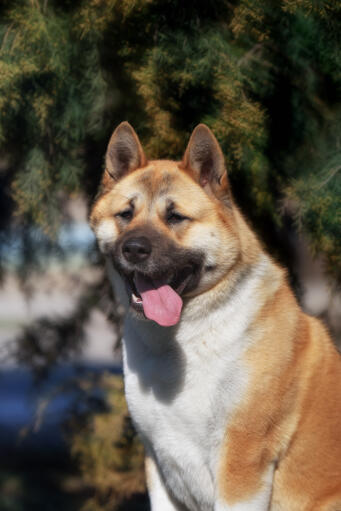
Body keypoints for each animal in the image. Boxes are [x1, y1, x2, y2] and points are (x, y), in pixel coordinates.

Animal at [89, 122, 340, 510]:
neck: (182, 341)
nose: (134, 249)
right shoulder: (159, 464)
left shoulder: (241, 464)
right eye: (125, 215)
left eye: (175, 217)